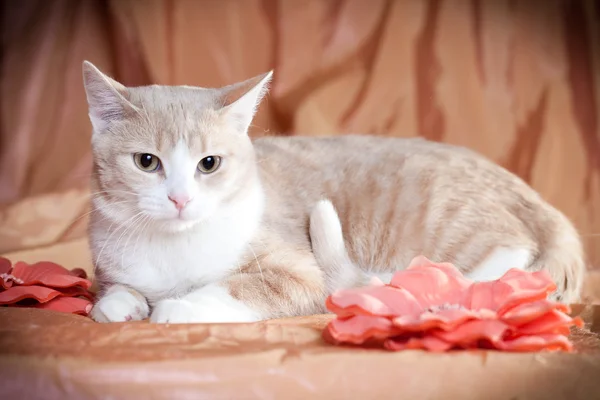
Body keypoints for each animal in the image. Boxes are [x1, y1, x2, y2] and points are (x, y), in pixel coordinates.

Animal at [83, 61, 584, 324]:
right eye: (147, 162)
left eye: (209, 164)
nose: (180, 199)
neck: (174, 248)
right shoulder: (110, 260)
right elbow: (113, 289)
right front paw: (119, 304)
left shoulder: (299, 275)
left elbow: (239, 288)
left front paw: (177, 307)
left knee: (506, 255)